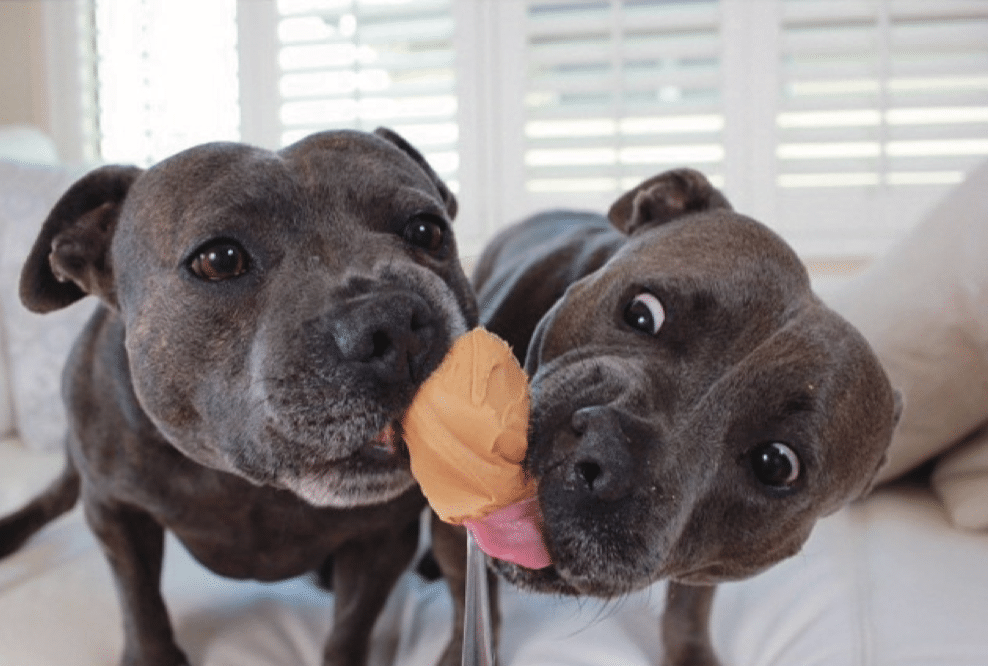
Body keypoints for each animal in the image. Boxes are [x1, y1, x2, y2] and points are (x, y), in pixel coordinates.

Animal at [0, 128, 478, 664]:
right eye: (219, 259)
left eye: (426, 231)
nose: (396, 324)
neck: (247, 482)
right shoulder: (114, 509)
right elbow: (141, 601)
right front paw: (153, 654)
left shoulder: (384, 536)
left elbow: (350, 627)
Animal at [468, 167, 896, 664]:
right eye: (641, 311)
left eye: (775, 463)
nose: (605, 452)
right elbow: (472, 598)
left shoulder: (705, 569)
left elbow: (689, 609)